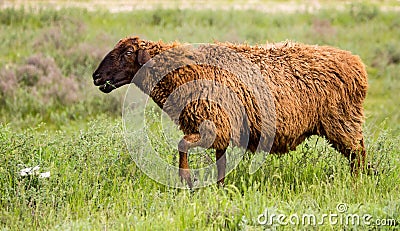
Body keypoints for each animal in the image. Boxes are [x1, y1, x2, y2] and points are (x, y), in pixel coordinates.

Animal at [92, 35, 368, 188]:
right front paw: (219, 191)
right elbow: (220, 165)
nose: (96, 77)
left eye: (128, 52)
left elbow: (182, 145)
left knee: (358, 154)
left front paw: (187, 181)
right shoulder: (221, 131)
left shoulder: (212, 126)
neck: (180, 71)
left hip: (342, 122)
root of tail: (356, 63)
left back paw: (359, 183)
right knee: (359, 153)